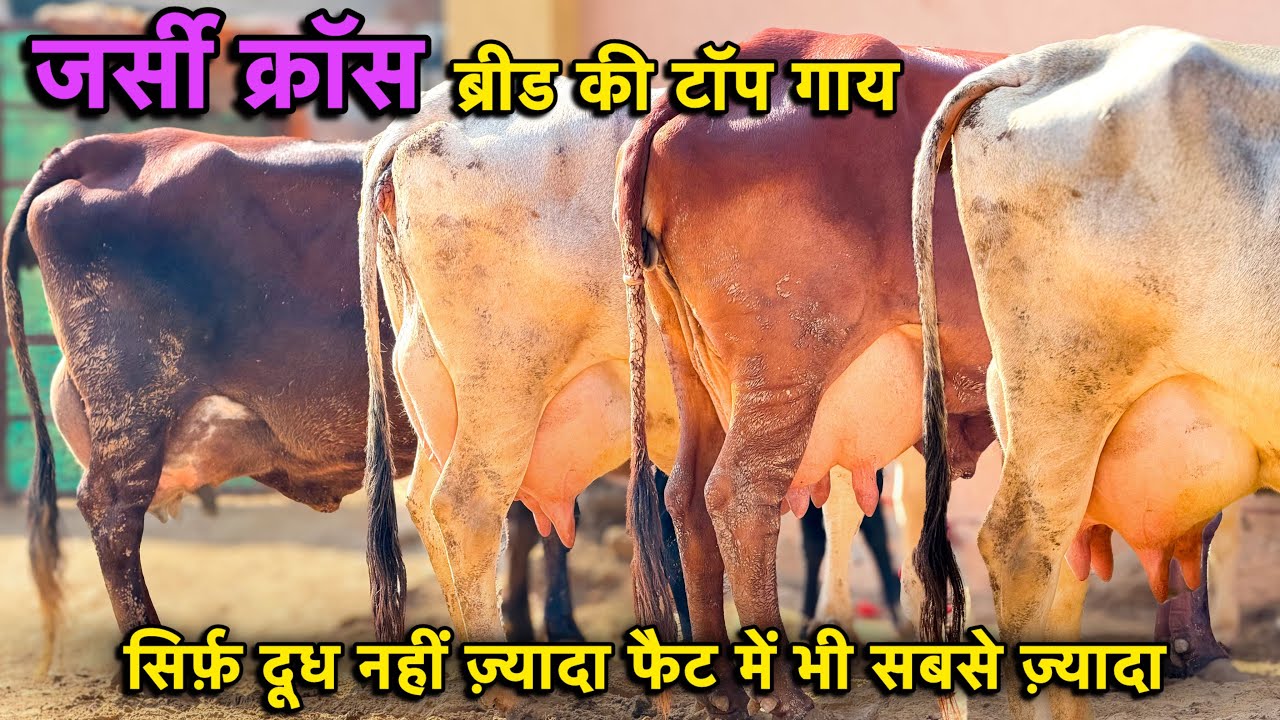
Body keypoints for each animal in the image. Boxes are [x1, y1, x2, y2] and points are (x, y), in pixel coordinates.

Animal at [3, 129, 596, 674]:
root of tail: (113, 146)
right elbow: (553, 525)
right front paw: (561, 626)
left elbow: (530, 523)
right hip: (132, 403)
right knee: (112, 515)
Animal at [617, 29, 1005, 718]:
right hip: (784, 369)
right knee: (741, 495)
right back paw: (778, 695)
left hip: (693, 364)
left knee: (686, 495)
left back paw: (722, 693)